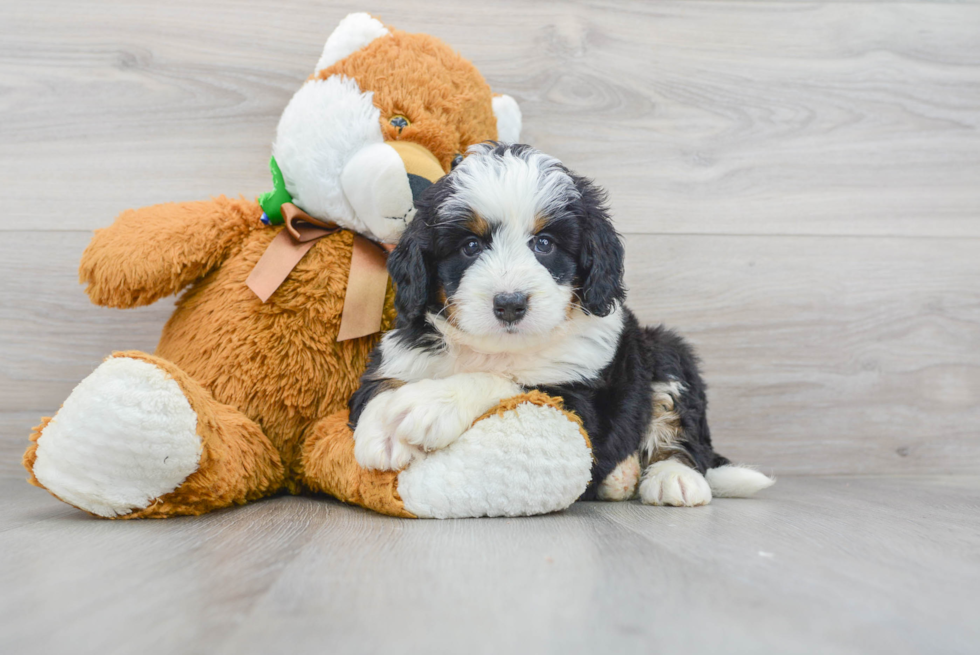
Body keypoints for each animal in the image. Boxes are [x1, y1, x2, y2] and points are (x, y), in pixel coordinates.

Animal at [350, 144, 772, 508]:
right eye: (470, 246)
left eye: (545, 244)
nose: (510, 304)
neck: (499, 346)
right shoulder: (404, 345)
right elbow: (382, 381)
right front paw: (381, 430)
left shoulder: (583, 400)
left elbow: (505, 380)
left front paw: (429, 404)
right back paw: (620, 478)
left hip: (665, 349)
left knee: (684, 434)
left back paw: (674, 477)